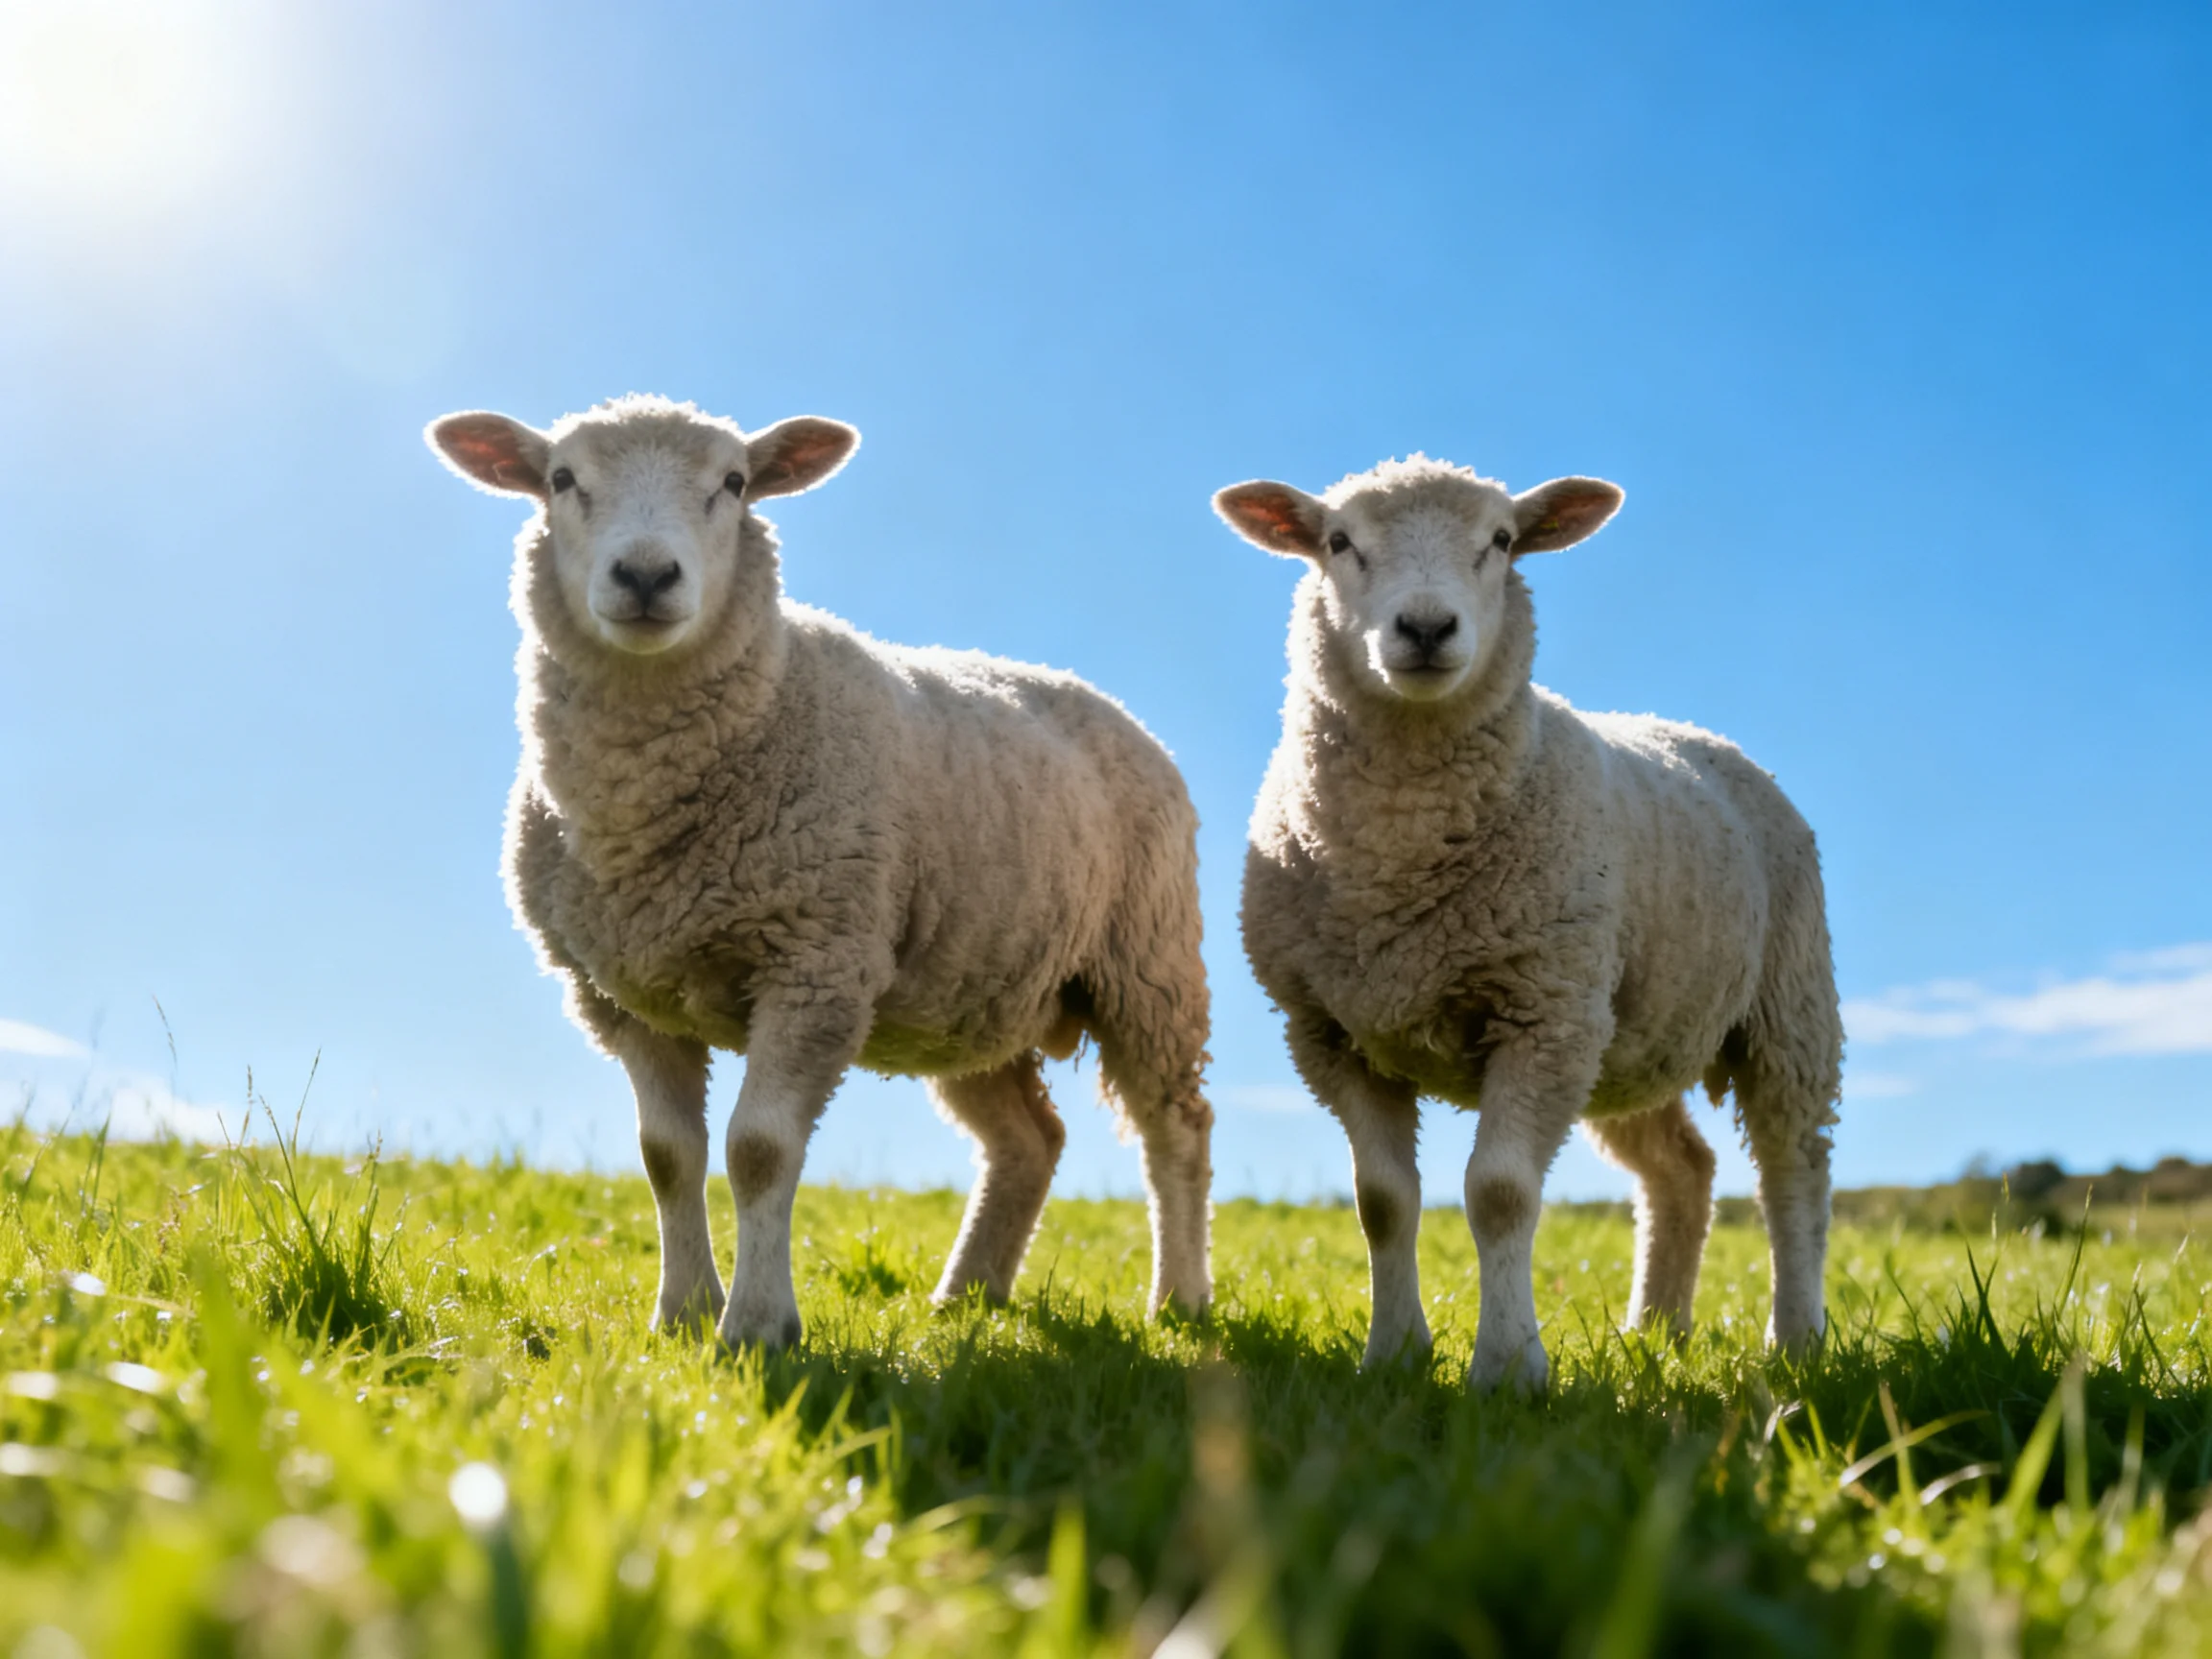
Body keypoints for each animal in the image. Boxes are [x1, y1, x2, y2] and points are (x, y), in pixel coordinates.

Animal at [426, 394, 1213, 1348]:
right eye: (562, 478)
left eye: (733, 482)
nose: (647, 575)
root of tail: (1111, 705)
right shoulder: (624, 994)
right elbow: (667, 1156)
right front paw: (682, 1313)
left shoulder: (814, 966)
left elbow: (758, 1149)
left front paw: (758, 1327)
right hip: (973, 985)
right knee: (1030, 1139)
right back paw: (967, 1295)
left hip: (1147, 966)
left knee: (1177, 1128)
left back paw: (1180, 1299)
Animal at [1216, 456, 1839, 1392]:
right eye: (1338, 541)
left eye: (1502, 541)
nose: (1426, 626)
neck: (1400, 849)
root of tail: (1693, 729)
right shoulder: (1332, 1032)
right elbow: (1382, 1202)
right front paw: (1394, 1355)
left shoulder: (1539, 1016)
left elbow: (1501, 1194)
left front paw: (1508, 1369)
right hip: (1622, 1033)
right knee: (1682, 1169)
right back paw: (1654, 1332)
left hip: (1781, 1007)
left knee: (1792, 1171)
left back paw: (1795, 1341)